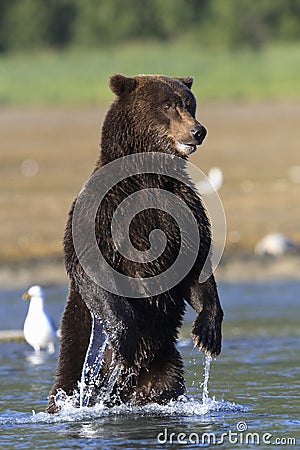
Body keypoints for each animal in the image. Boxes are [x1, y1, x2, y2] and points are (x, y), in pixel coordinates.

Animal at [47, 74, 223, 414]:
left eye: (190, 103)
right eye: (167, 105)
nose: (198, 130)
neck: (148, 175)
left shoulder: (184, 209)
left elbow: (196, 266)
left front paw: (206, 334)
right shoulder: (102, 209)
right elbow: (92, 269)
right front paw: (124, 336)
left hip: (164, 367)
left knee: (165, 384)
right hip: (77, 359)